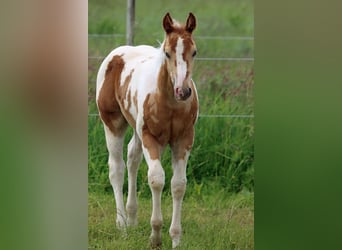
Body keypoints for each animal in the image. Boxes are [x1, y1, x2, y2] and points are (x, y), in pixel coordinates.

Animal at [96, 12, 198, 248]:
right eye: (167, 53)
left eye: (194, 52)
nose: (183, 91)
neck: (170, 103)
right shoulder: (151, 138)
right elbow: (157, 179)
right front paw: (156, 236)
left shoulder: (184, 139)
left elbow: (178, 185)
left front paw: (175, 239)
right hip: (113, 124)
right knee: (117, 168)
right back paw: (122, 224)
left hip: (136, 127)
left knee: (132, 158)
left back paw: (132, 218)